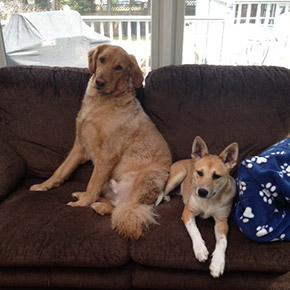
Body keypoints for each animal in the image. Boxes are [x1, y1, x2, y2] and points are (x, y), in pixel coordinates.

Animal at [164, 137, 239, 278]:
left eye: (216, 176)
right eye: (199, 173)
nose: (202, 192)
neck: (208, 201)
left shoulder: (222, 221)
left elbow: (222, 241)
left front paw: (217, 263)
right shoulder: (188, 212)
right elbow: (194, 230)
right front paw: (200, 249)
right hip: (177, 177)